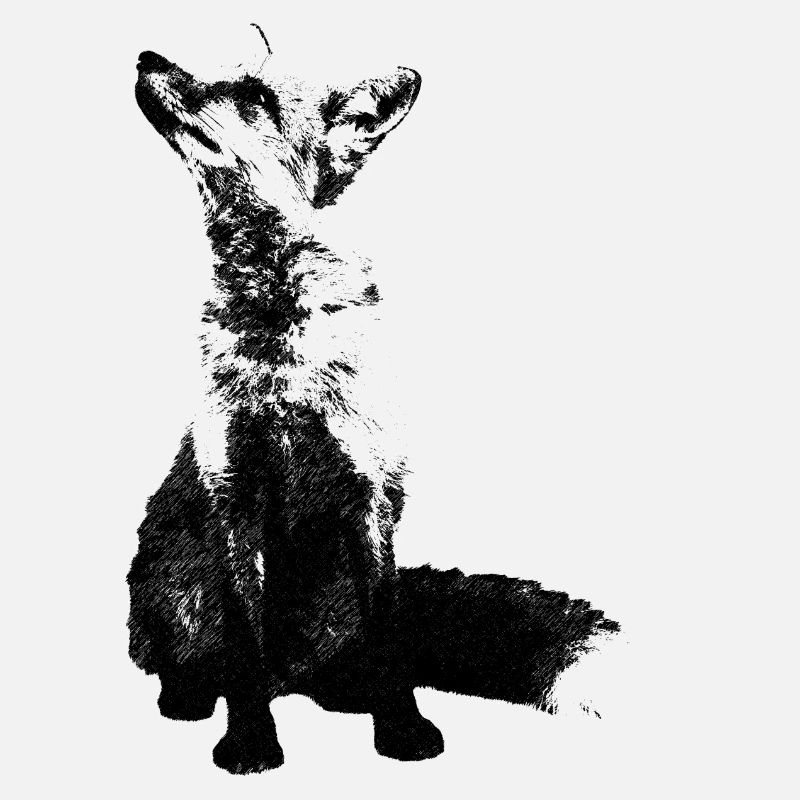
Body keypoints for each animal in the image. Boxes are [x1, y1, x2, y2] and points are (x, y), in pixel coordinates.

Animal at [128, 28, 622, 774]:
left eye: (253, 94)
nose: (146, 58)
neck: (286, 361)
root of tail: (297, 675)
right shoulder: (234, 494)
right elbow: (244, 644)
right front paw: (250, 742)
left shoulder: (369, 495)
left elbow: (388, 639)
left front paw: (402, 730)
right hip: (168, 590)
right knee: (191, 661)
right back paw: (190, 695)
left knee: (341, 659)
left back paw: (344, 693)